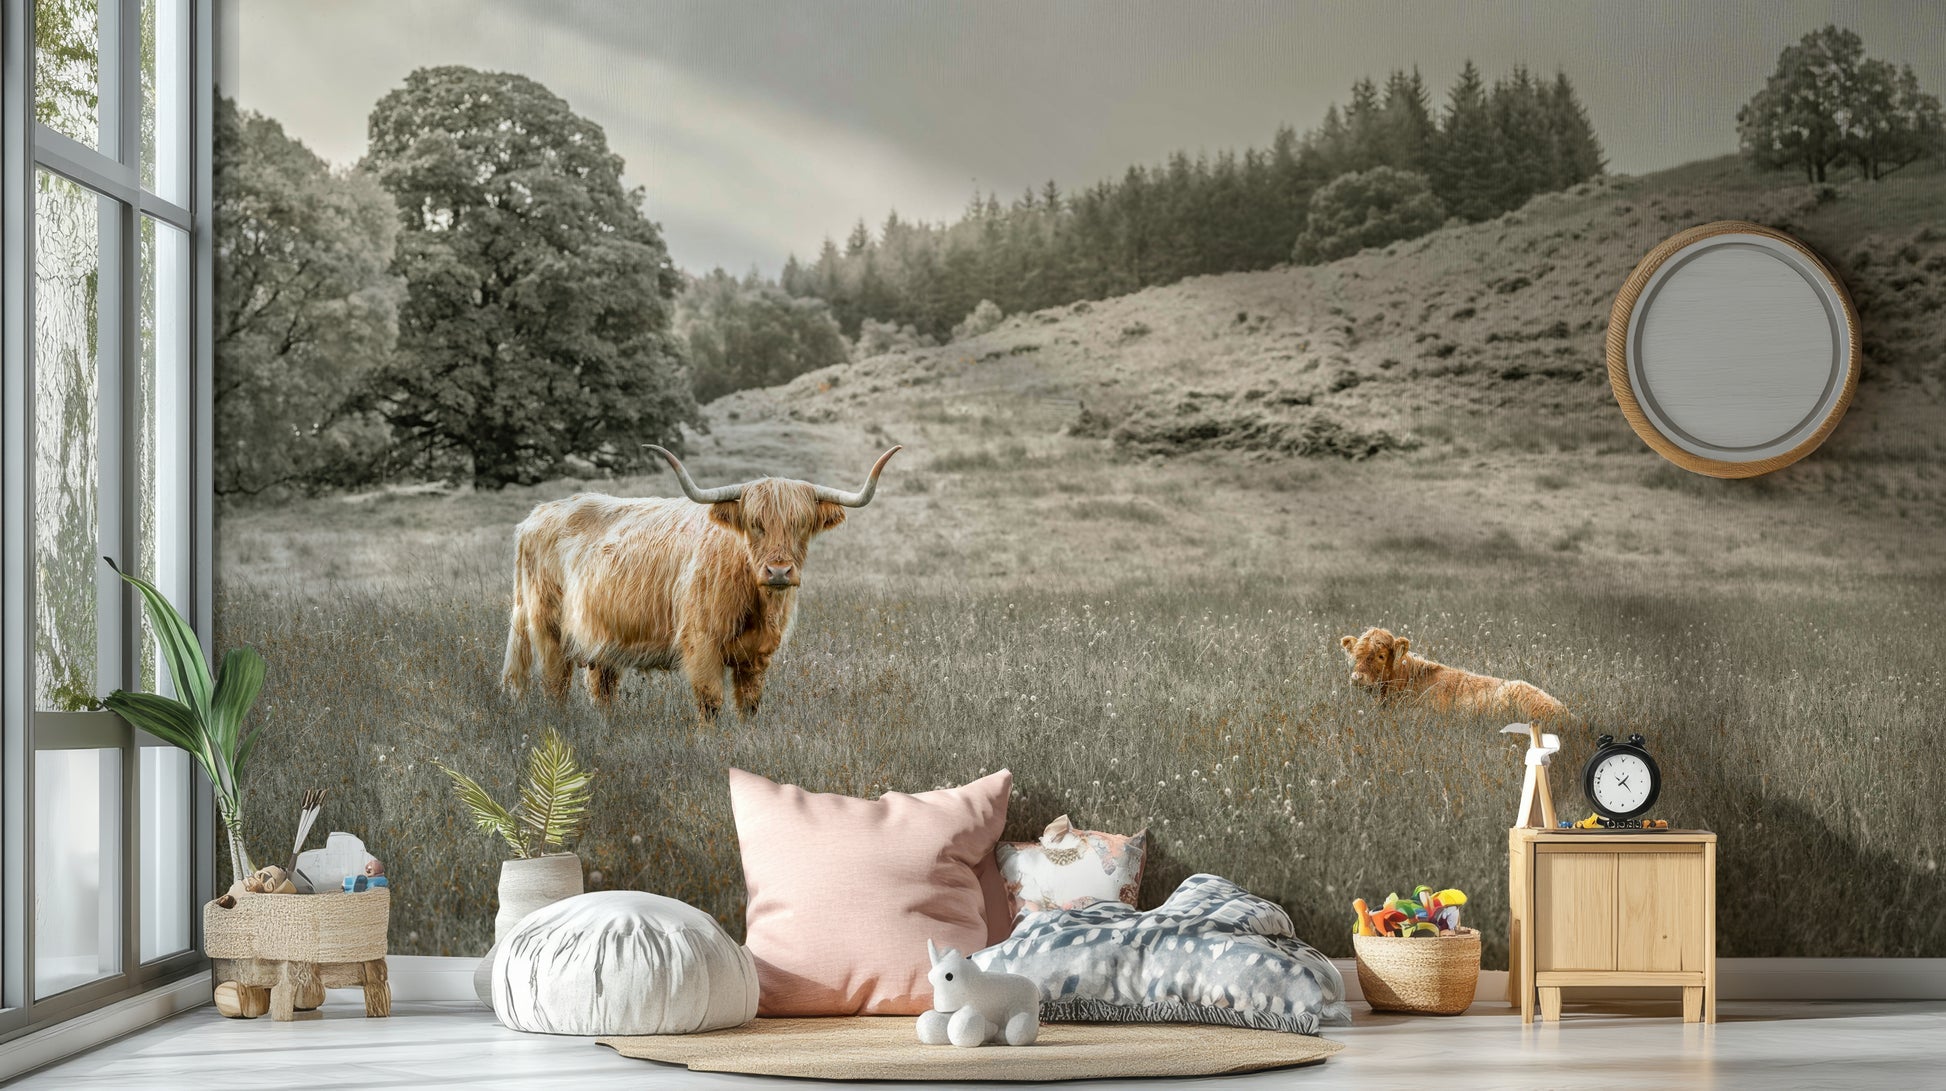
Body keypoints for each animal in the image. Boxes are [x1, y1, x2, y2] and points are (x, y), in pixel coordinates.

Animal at [501, 444, 901, 720]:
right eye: (754, 523)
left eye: (801, 525)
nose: (778, 572)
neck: (755, 603)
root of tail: (535, 516)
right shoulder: (701, 644)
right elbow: (710, 702)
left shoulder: (757, 655)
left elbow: (749, 705)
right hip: (546, 627)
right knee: (555, 685)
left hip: (602, 639)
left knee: (601, 688)